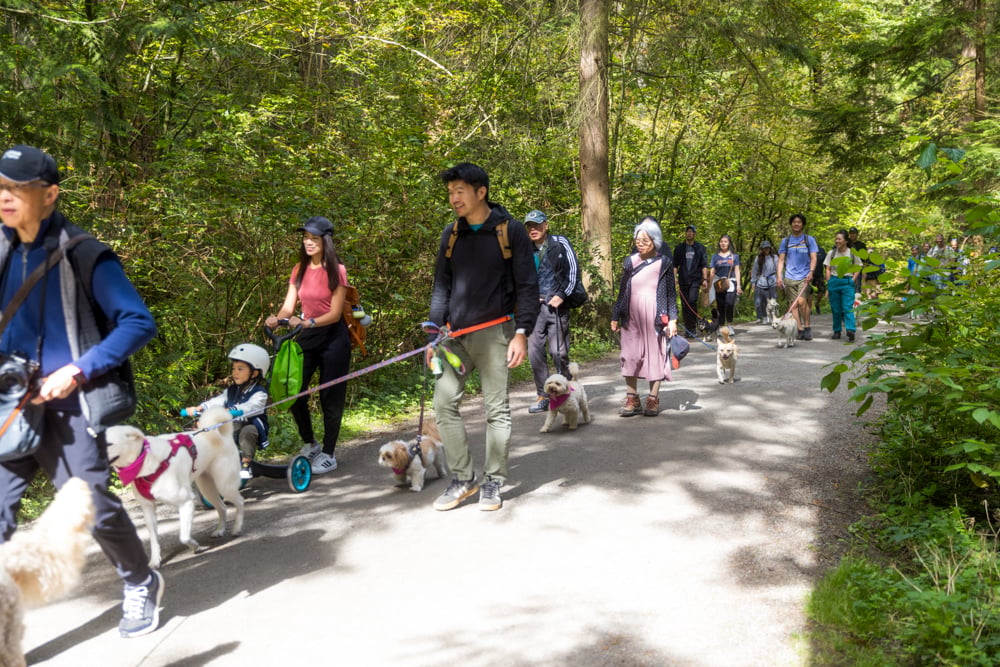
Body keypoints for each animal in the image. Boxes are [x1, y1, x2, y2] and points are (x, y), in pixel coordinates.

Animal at [106, 408, 245, 568]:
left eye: (108, 444)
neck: (145, 461)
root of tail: (222, 434)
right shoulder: (148, 509)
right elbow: (154, 539)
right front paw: (155, 560)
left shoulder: (186, 502)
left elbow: (183, 537)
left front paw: (195, 546)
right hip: (207, 488)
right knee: (222, 507)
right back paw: (219, 530)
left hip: (224, 485)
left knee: (240, 501)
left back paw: (237, 528)